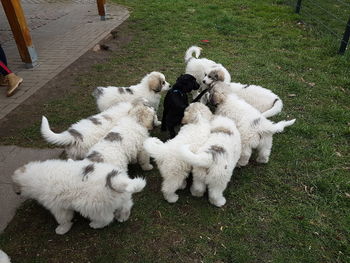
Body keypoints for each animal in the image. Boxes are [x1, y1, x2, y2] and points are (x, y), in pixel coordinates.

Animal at [10, 160, 145, 236]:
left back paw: (95, 224)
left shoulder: (58, 207)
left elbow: (63, 219)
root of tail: (116, 182)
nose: (16, 193)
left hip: (92, 206)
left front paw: (62, 229)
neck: (36, 176)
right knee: (126, 205)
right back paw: (123, 216)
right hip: (123, 196)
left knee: (107, 219)